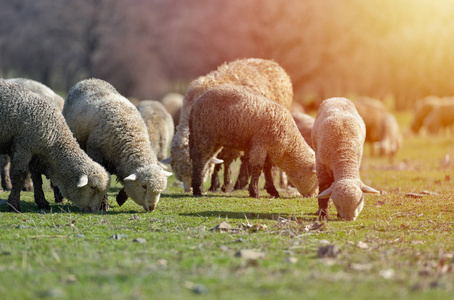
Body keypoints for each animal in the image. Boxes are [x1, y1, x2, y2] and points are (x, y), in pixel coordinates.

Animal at [0, 78, 110, 212]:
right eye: (93, 188)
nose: (96, 210)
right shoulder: (23, 147)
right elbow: (19, 175)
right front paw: (14, 205)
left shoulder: (36, 153)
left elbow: (37, 178)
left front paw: (42, 202)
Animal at [62, 78, 172, 212]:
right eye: (144, 186)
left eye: (161, 190)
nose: (152, 207)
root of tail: (88, 80)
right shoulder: (99, 157)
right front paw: (104, 204)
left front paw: (121, 197)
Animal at [168, 57, 292, 193]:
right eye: (179, 174)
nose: (189, 190)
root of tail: (270, 62)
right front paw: (214, 185)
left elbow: (226, 162)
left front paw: (226, 184)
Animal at [188, 84, 316, 198]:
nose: (313, 196)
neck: (288, 144)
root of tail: (195, 105)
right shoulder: (260, 145)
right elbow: (257, 168)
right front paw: (254, 192)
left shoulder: (269, 150)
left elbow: (267, 170)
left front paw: (272, 190)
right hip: (203, 134)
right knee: (199, 160)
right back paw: (198, 189)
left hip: (214, 140)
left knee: (206, 160)